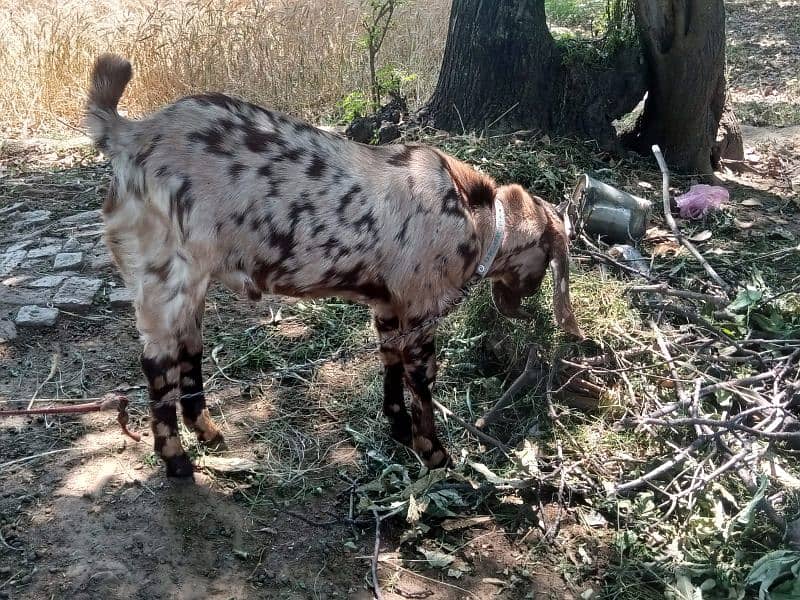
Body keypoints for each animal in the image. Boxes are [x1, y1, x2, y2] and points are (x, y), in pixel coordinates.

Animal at [84, 55, 580, 478]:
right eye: (549, 260)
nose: (524, 307)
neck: (473, 215)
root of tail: (130, 135)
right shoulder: (420, 309)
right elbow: (422, 382)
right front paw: (434, 453)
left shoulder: (386, 306)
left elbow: (390, 363)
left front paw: (397, 427)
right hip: (164, 276)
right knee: (157, 363)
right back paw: (176, 460)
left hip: (193, 283)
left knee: (190, 350)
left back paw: (208, 432)